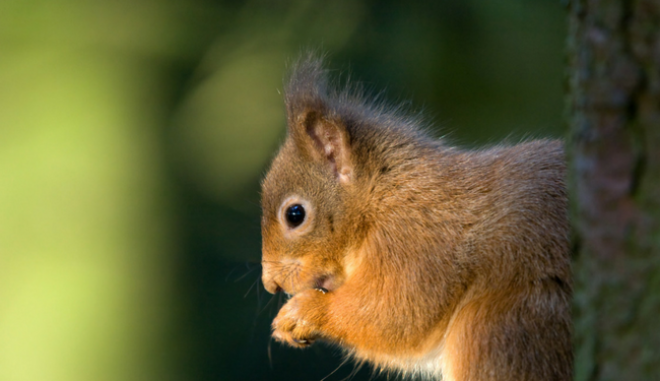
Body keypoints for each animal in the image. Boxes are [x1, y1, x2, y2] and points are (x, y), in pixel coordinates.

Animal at [260, 55, 572, 378]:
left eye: (295, 215)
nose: (270, 283)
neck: (383, 196)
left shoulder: (415, 243)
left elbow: (397, 315)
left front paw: (303, 312)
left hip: (501, 330)